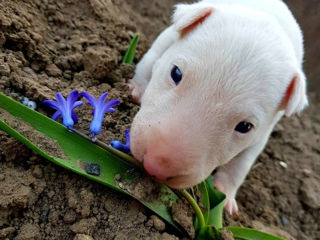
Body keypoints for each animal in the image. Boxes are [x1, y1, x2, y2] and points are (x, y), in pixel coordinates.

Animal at [127, 0, 308, 215]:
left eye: (245, 126)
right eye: (176, 73)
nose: (155, 166)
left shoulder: (263, 133)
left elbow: (242, 163)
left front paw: (225, 196)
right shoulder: (170, 35)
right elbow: (152, 57)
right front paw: (137, 89)